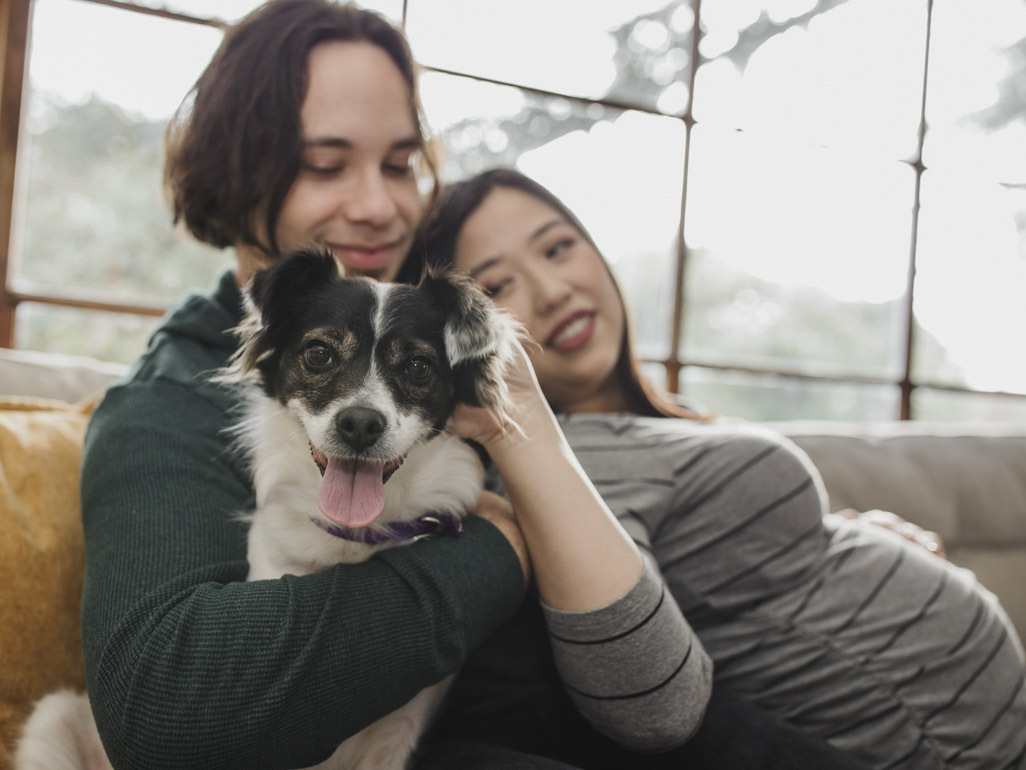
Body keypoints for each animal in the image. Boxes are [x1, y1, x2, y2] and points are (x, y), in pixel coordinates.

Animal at [18, 250, 521, 767]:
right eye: (318, 354)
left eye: (419, 367)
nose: (360, 423)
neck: (356, 531)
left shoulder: (398, 732)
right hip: (51, 717)